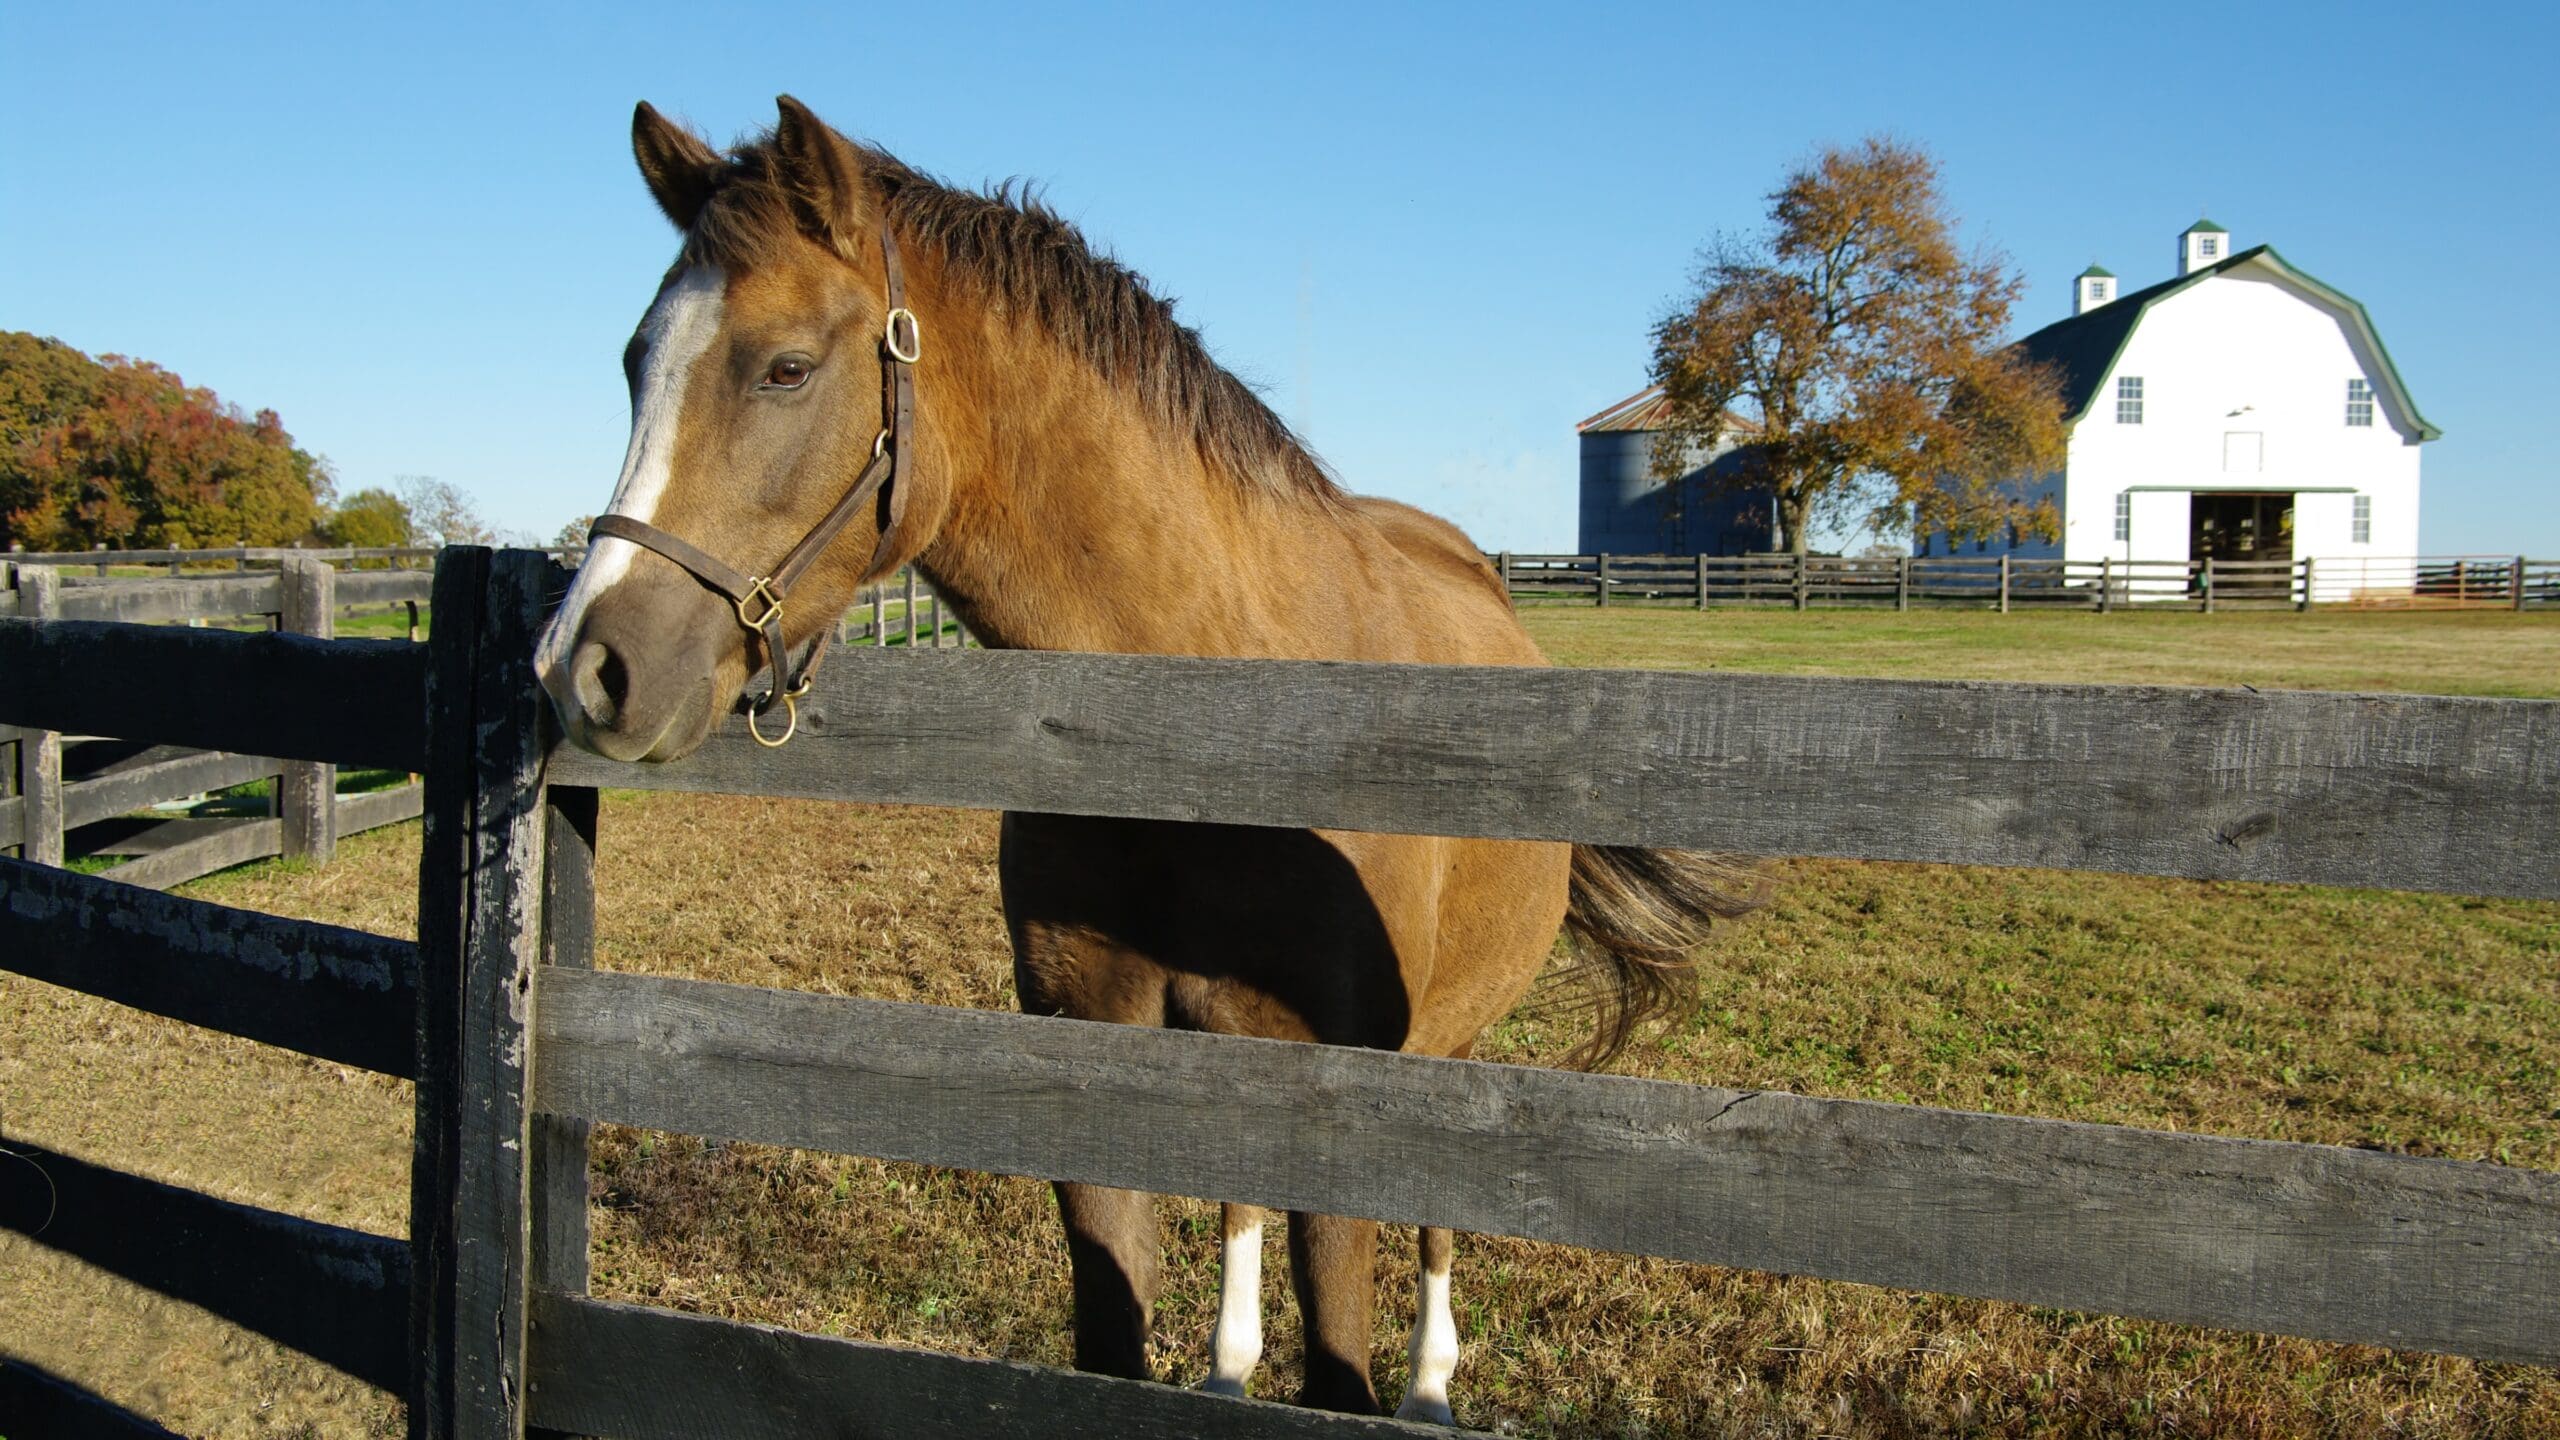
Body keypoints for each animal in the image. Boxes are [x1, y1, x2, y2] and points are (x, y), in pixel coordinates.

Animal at [529, 95, 1751, 1414]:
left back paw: (1430, 1379)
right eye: (635, 365)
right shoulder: (1095, 1068)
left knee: (1431, 1221)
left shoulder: (1346, 1110)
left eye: (786, 367)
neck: (1209, 731)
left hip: (1446, 1043)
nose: (584, 667)